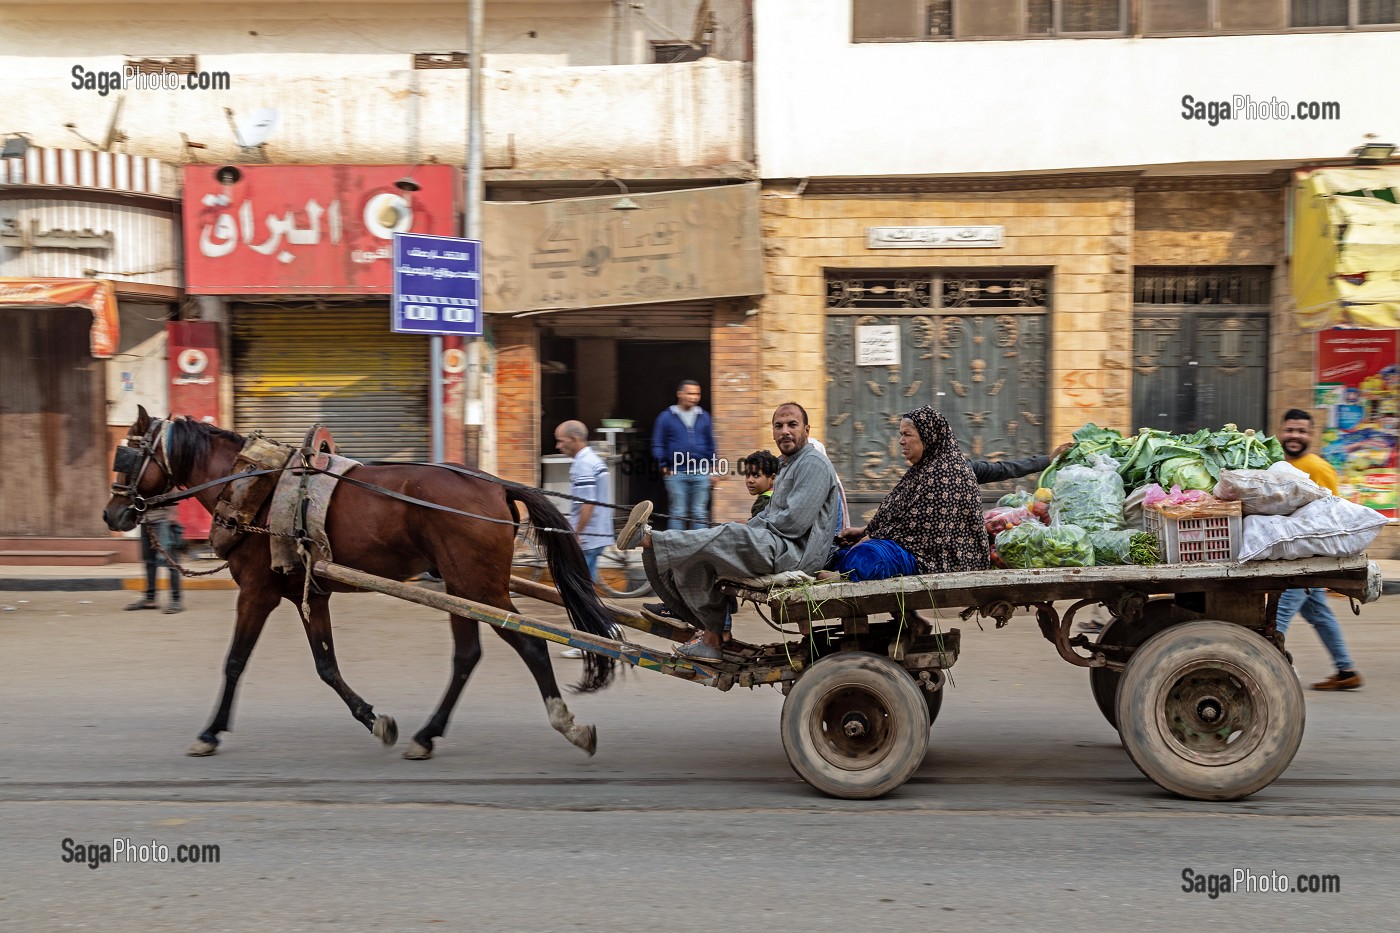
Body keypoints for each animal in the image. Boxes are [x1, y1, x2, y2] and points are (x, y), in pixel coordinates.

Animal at [101, 406, 616, 756]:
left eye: (125, 456)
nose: (112, 514)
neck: (250, 485)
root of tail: (495, 483)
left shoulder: (257, 592)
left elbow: (234, 662)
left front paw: (209, 732)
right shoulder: (308, 592)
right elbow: (326, 665)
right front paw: (374, 719)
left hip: (479, 586)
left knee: (530, 644)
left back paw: (567, 724)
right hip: (461, 588)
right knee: (467, 656)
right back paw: (427, 735)